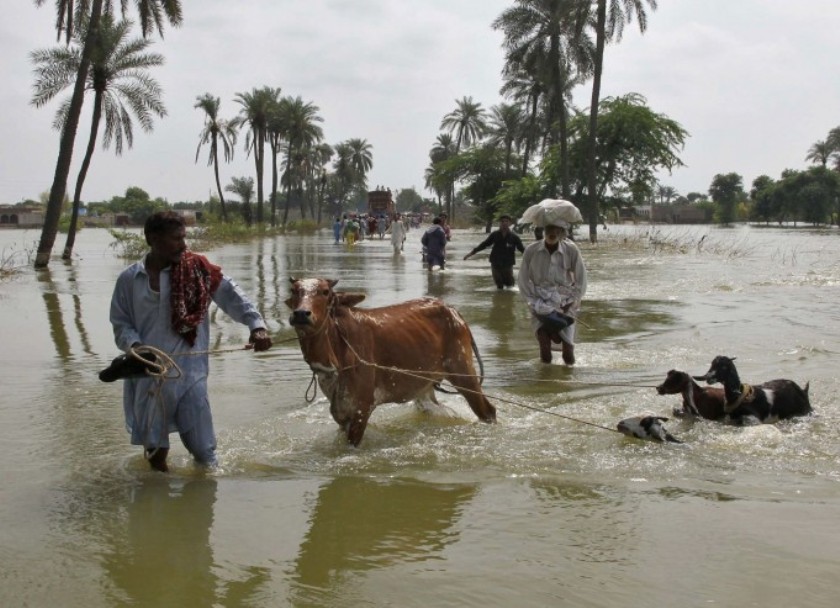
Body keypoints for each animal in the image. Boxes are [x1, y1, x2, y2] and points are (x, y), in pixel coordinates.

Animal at [286, 278, 496, 444]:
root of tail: (453, 311)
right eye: (294, 290)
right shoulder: (341, 413)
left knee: (488, 411)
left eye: (325, 291)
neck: (337, 351)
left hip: (463, 372)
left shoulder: (362, 409)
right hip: (424, 386)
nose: (301, 314)